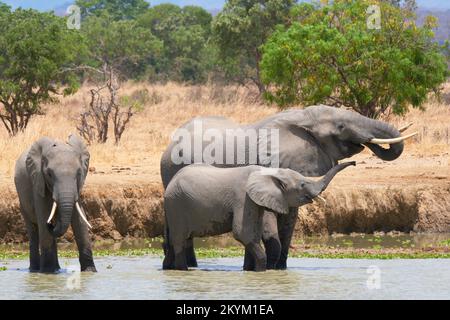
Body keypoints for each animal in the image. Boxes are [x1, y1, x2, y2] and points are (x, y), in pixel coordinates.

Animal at [14, 134, 95, 272]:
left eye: (79, 173)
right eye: (49, 174)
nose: (51, 224)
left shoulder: (77, 187)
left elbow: (79, 220)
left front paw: (90, 271)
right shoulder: (38, 181)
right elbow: (44, 215)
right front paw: (47, 272)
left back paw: (55, 269)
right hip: (22, 202)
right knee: (33, 231)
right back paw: (36, 270)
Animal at [162, 161, 356, 272]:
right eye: (302, 184)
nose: (354, 163)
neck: (269, 173)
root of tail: (169, 185)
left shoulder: (254, 202)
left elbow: (253, 234)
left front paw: (252, 271)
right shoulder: (243, 197)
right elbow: (243, 233)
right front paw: (262, 272)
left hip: (174, 208)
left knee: (173, 241)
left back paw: (168, 268)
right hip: (177, 205)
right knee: (179, 240)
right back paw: (183, 270)